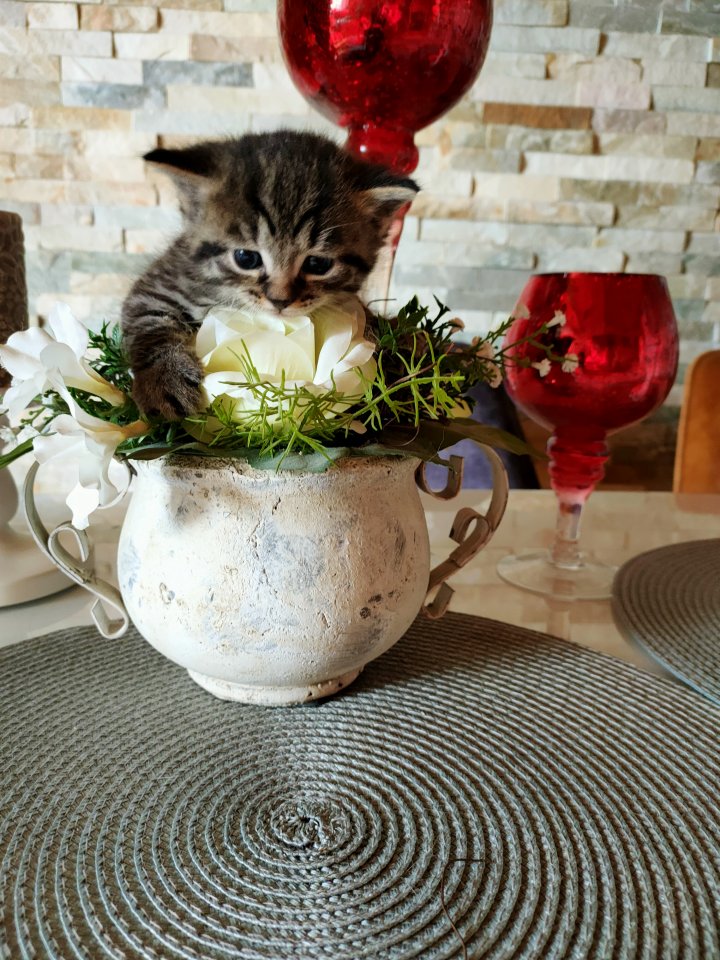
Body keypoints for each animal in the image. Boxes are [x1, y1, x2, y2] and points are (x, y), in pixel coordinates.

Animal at [120, 131, 419, 420]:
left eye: (318, 264)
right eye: (246, 258)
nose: (280, 300)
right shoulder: (164, 280)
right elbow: (147, 321)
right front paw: (163, 380)